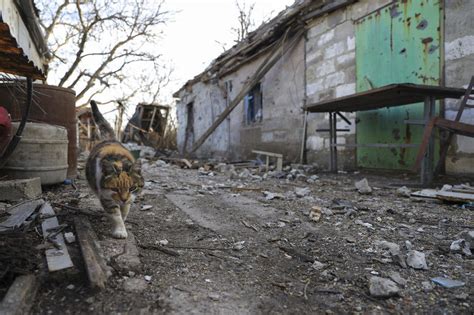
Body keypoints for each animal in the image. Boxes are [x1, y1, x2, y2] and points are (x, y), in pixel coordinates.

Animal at [85, 101, 143, 239]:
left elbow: (125, 210)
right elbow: (116, 215)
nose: (123, 199)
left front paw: (124, 217)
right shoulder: (106, 196)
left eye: (132, 188)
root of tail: (110, 139)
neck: (119, 161)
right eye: (115, 189)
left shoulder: (130, 198)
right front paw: (120, 231)